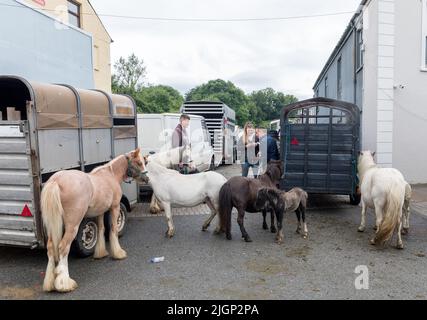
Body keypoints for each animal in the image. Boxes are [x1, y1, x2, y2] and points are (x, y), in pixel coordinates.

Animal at [41, 149, 149, 292]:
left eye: (144, 162)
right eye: (139, 162)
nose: (147, 179)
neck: (111, 175)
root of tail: (56, 181)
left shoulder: (100, 212)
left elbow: (101, 229)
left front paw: (101, 253)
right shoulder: (114, 208)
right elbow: (113, 229)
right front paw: (118, 253)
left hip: (53, 225)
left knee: (50, 248)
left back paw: (49, 282)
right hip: (72, 225)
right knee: (63, 247)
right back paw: (65, 283)